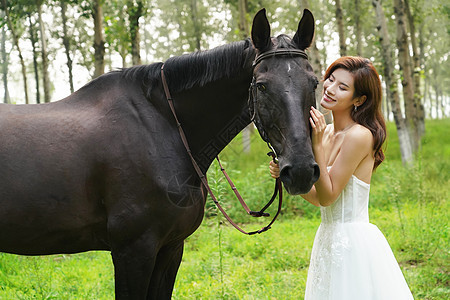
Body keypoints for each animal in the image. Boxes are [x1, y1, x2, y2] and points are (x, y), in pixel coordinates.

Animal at [0, 8, 316, 298]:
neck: (162, 127)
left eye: (313, 82)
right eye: (261, 86)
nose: (301, 170)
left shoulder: (171, 247)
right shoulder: (133, 251)